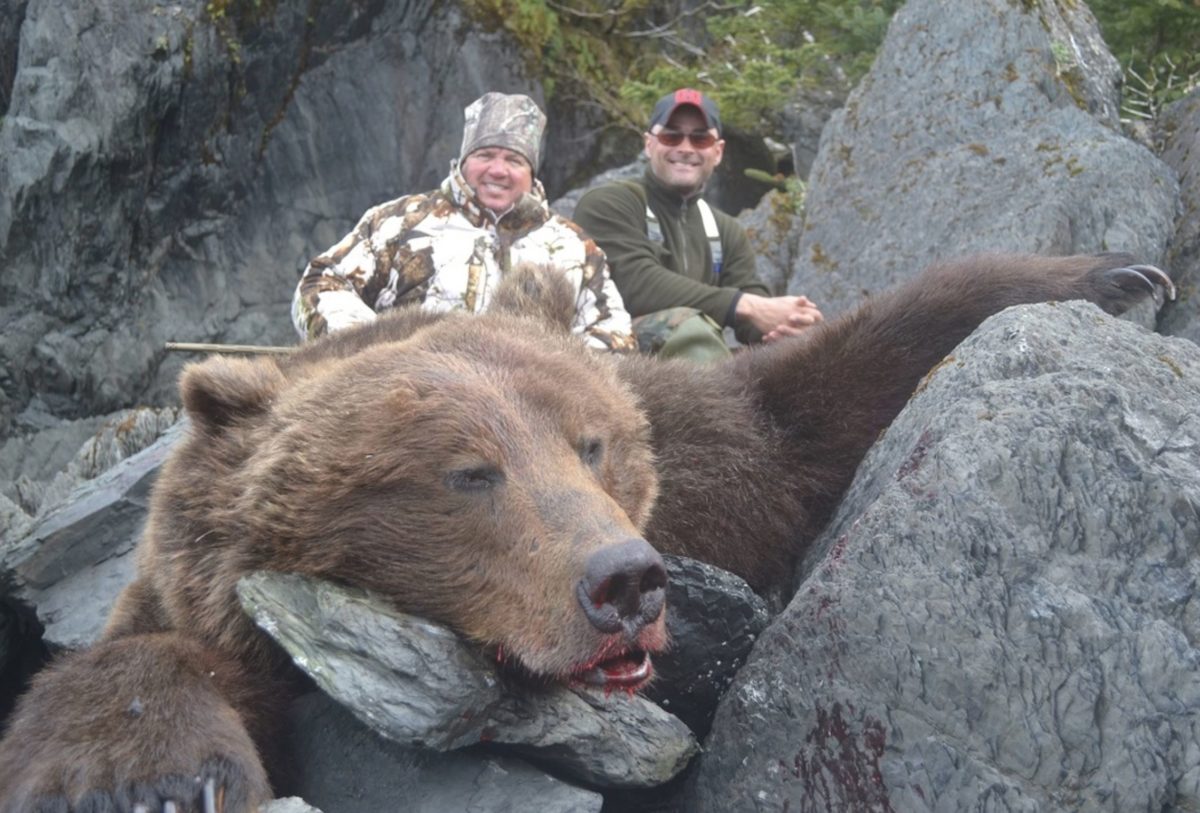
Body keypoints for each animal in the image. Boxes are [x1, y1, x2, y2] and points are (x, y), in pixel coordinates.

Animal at [0, 252, 1173, 810]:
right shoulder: (199, 596)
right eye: (466, 473)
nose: (625, 581)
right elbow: (135, 664)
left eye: (594, 442)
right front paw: (150, 780)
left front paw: (1120, 278)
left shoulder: (714, 449)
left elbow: (821, 393)